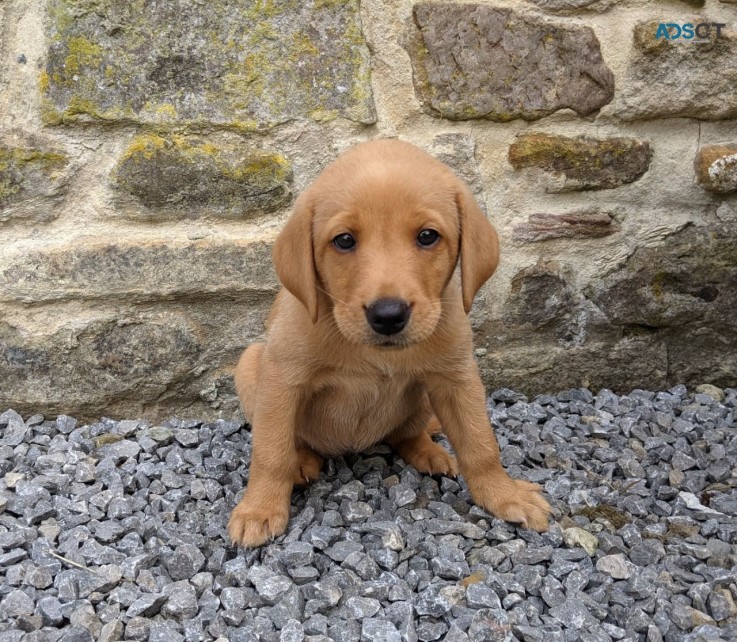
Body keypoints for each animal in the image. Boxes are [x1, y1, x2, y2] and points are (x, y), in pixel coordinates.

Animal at [227, 136, 548, 544]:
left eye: (427, 236)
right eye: (344, 241)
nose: (388, 315)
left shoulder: (457, 378)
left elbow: (481, 444)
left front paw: (504, 495)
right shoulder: (283, 381)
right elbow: (271, 452)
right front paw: (260, 509)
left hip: (424, 398)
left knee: (406, 434)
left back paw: (429, 452)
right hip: (250, 364)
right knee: (296, 441)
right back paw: (302, 462)